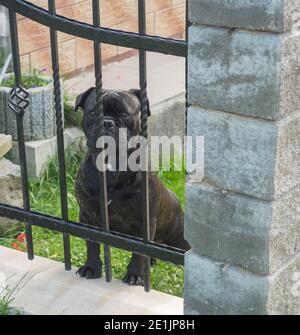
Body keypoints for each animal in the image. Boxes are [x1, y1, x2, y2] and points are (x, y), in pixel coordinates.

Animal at [73, 87, 189, 286]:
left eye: (124, 114)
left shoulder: (146, 222)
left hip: (178, 237)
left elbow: (139, 253)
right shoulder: (87, 216)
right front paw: (91, 267)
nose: (107, 122)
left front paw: (135, 275)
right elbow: (92, 244)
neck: (113, 164)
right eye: (93, 112)